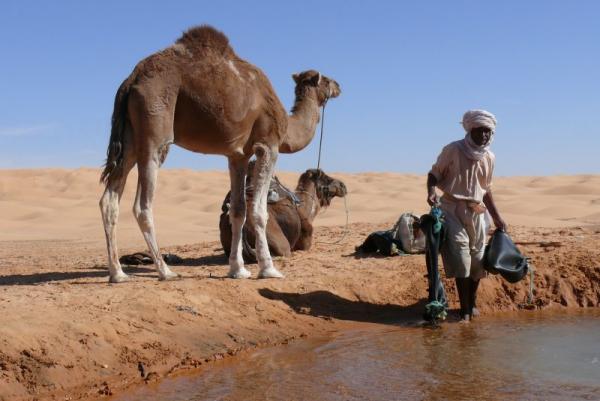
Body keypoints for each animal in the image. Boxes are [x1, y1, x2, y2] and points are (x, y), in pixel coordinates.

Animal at [101, 25, 340, 282]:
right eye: (326, 79)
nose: (339, 85)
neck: (287, 125)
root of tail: (131, 80)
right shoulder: (268, 145)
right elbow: (259, 211)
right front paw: (269, 269)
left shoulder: (238, 156)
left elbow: (238, 211)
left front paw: (238, 269)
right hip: (154, 126)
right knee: (142, 205)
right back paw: (165, 271)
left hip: (129, 138)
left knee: (109, 200)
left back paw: (118, 273)